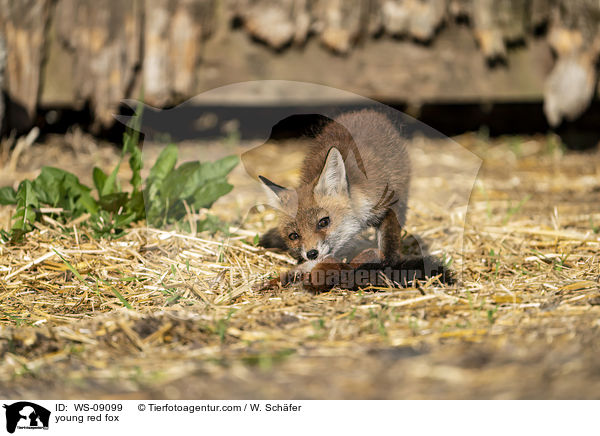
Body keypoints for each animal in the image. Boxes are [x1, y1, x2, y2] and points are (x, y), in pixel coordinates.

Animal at [260, 110, 410, 270]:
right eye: (294, 236)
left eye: (324, 222)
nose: (312, 254)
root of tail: (364, 112)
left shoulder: (387, 201)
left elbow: (389, 239)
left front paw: (388, 261)